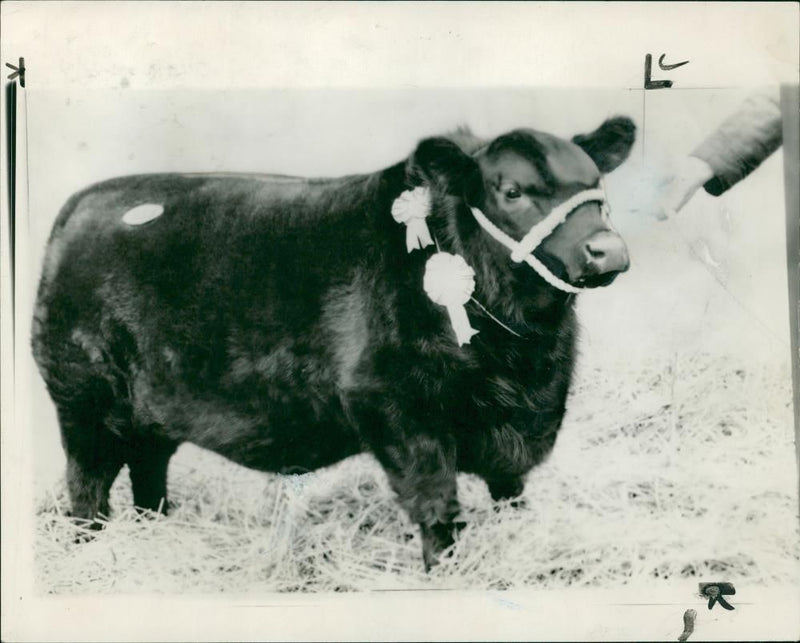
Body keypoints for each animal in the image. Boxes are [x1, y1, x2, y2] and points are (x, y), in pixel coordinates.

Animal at [32, 115, 636, 568]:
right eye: (512, 191)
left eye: (596, 187)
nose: (607, 250)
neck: (521, 352)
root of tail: (79, 207)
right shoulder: (397, 407)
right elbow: (435, 502)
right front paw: (445, 569)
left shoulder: (524, 418)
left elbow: (511, 490)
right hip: (83, 399)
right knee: (87, 485)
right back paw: (89, 549)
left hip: (150, 409)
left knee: (148, 470)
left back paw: (155, 530)